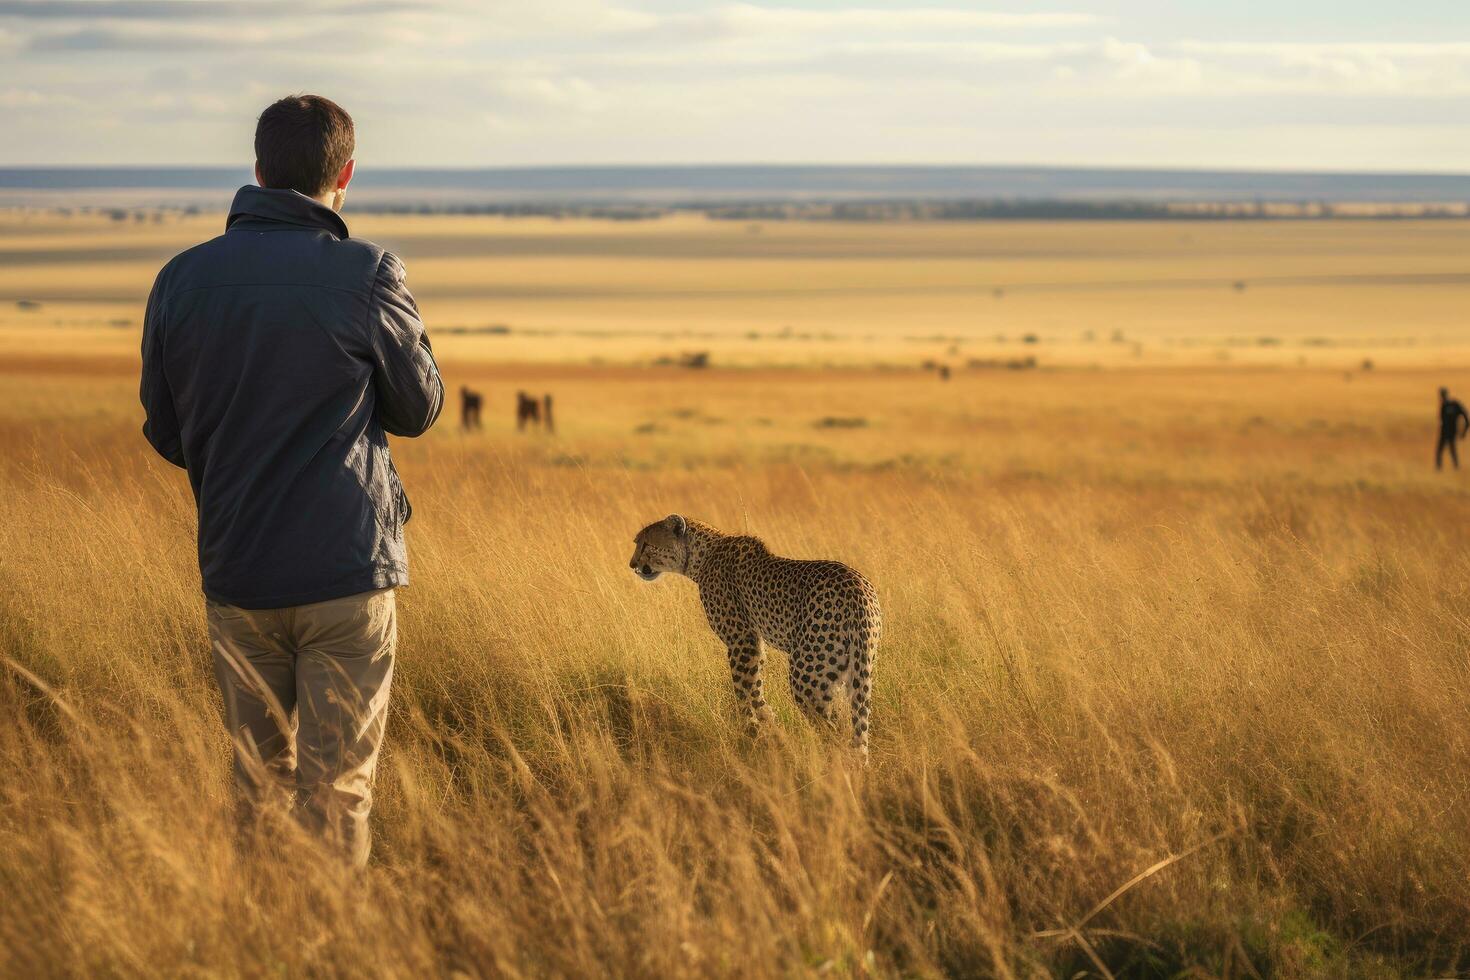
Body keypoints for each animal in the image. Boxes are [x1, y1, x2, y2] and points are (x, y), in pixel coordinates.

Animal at [626, 517, 876, 764]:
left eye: (646, 544)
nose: (632, 564)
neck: (701, 554)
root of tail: (857, 588)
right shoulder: (755, 641)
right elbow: (755, 683)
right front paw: (767, 720)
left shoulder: (741, 639)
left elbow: (744, 688)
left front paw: (753, 730)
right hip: (856, 671)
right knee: (855, 726)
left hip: (807, 675)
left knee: (834, 729)